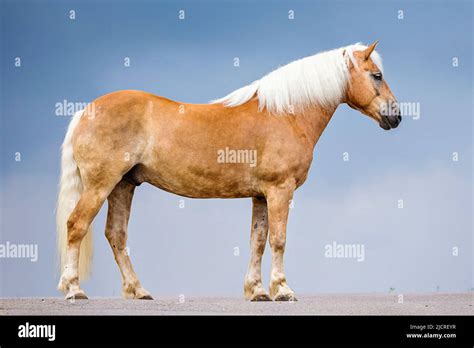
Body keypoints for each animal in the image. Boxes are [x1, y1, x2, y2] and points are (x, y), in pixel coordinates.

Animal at [57, 41, 402, 302]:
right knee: (76, 225)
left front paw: (257, 291)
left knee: (116, 235)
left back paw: (138, 290)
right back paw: (74, 289)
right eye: (377, 75)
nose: (396, 115)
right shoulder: (280, 190)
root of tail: (84, 112)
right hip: (100, 185)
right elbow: (279, 240)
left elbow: (258, 240)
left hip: (123, 185)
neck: (285, 114)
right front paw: (282, 290)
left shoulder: (261, 195)